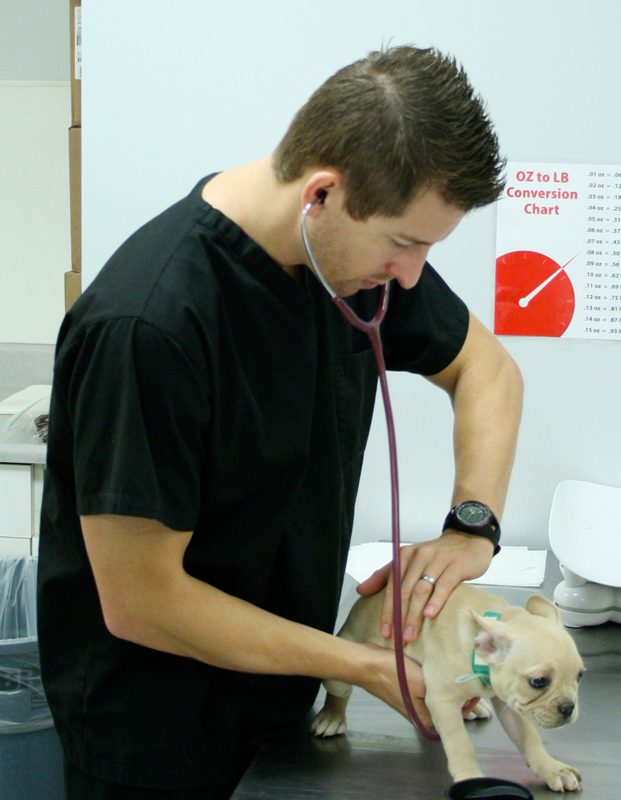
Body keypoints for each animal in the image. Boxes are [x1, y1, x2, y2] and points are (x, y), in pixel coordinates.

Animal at [312, 580, 584, 792]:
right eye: (538, 682)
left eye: (580, 676)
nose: (569, 707)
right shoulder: (442, 701)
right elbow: (461, 744)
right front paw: (470, 777)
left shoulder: (509, 703)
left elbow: (529, 738)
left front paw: (552, 769)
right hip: (342, 658)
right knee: (339, 691)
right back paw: (331, 716)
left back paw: (475, 708)